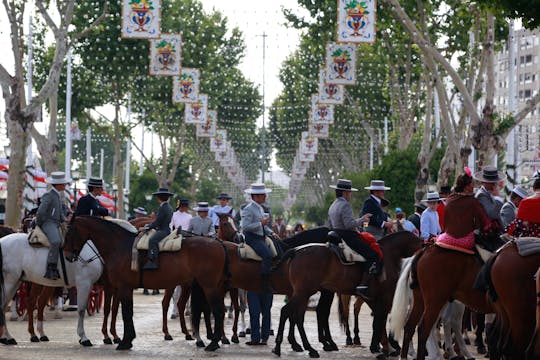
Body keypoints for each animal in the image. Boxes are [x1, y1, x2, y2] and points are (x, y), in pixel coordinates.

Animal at [63, 215, 230, 350]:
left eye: (69, 232)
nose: (67, 255)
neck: (119, 246)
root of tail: (219, 243)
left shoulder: (123, 287)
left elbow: (125, 313)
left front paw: (124, 341)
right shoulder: (124, 288)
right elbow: (125, 312)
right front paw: (127, 339)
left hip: (209, 286)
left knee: (218, 311)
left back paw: (213, 343)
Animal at [274, 231, 422, 358]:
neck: (388, 255)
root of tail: (296, 251)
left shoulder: (374, 298)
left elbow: (379, 321)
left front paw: (383, 347)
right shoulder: (384, 297)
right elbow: (380, 321)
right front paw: (384, 348)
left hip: (305, 293)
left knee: (298, 315)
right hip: (304, 292)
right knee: (287, 312)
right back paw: (288, 347)